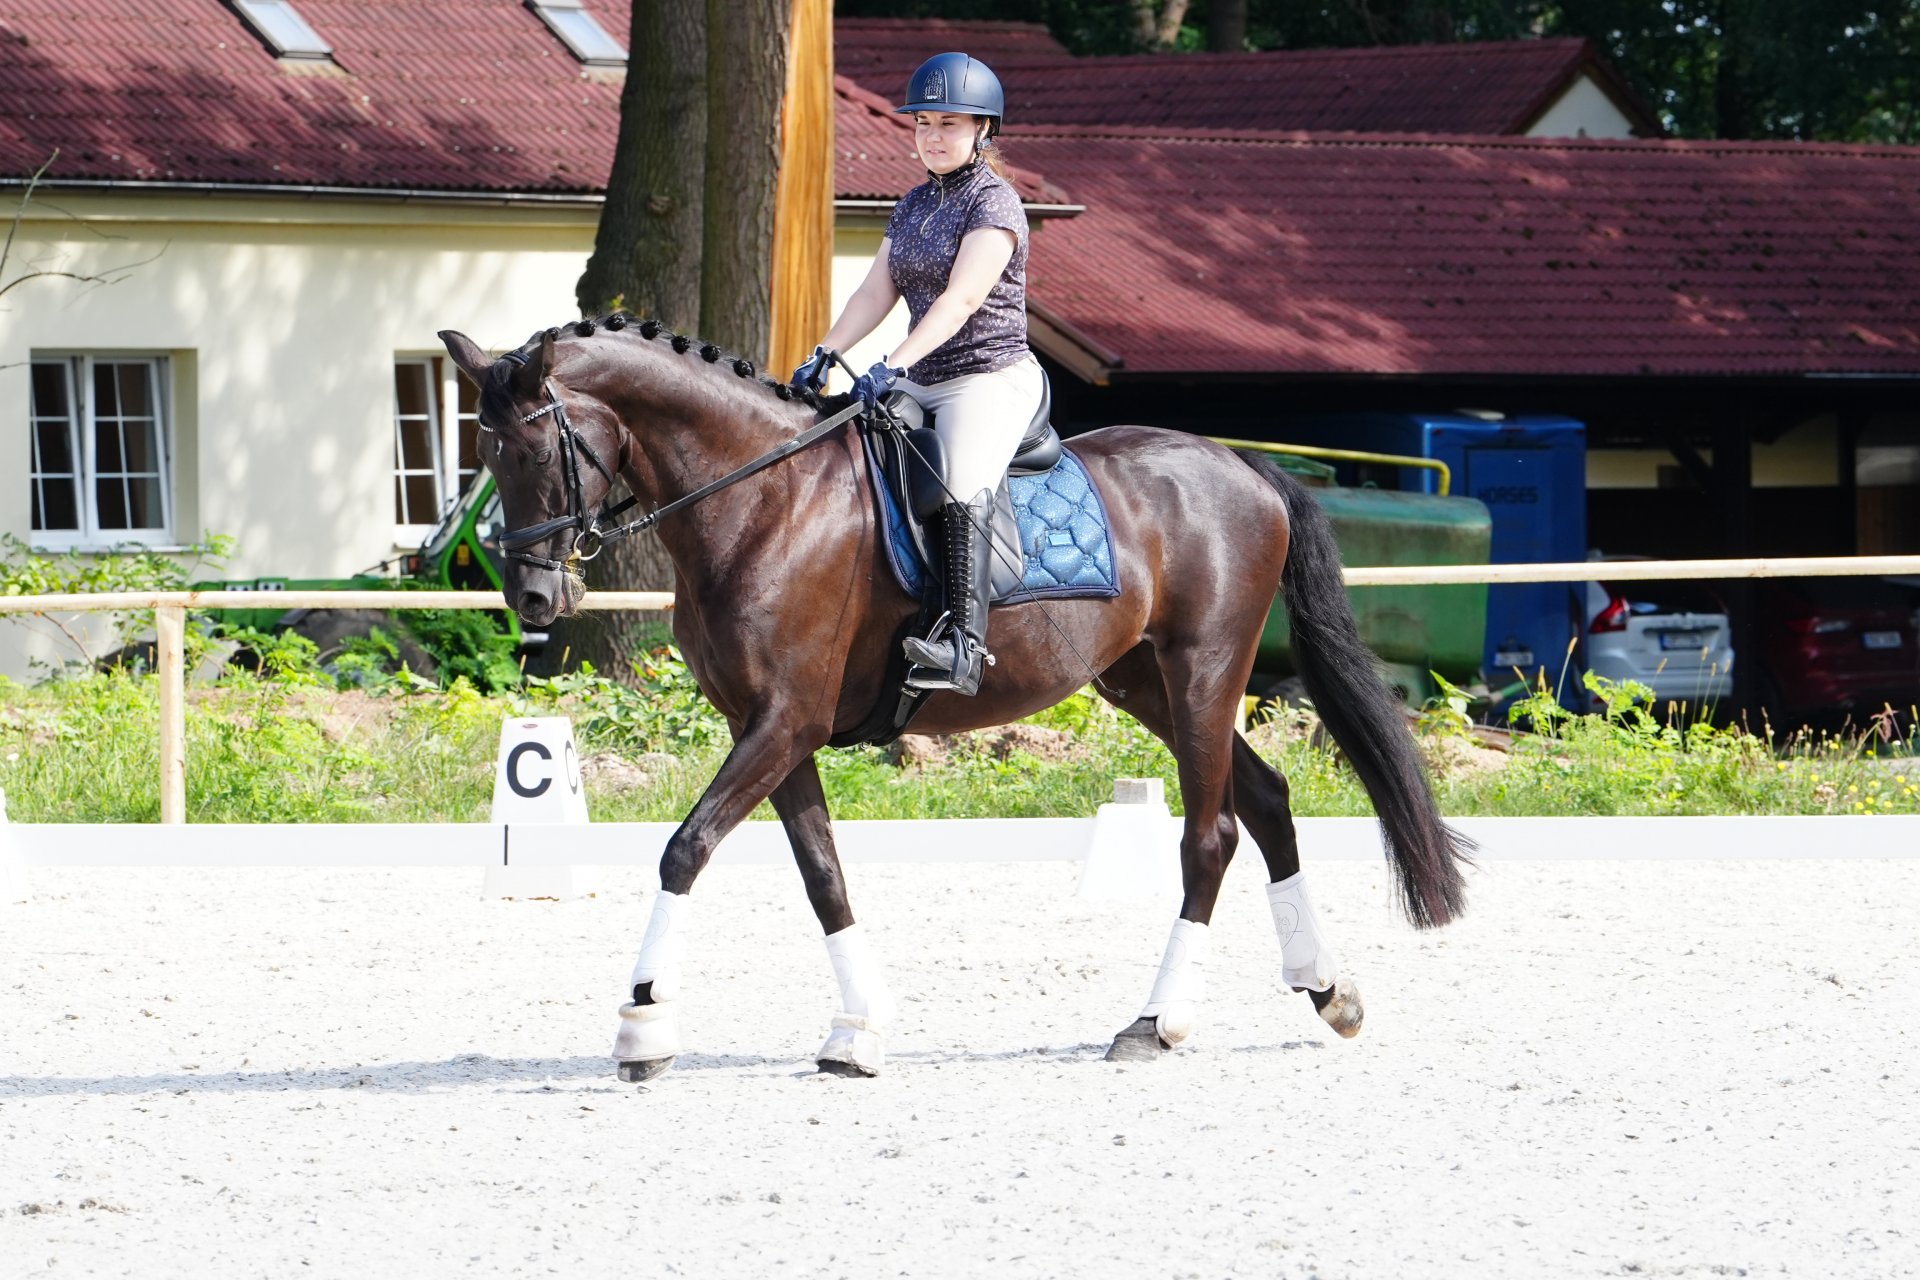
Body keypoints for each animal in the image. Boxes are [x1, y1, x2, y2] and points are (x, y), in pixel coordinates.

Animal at [441, 314, 1474, 1074]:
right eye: (483, 455)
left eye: (536, 451)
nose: (533, 599)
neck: (760, 501)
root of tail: (1241, 463)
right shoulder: (772, 731)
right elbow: (824, 874)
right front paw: (857, 1034)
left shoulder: (782, 724)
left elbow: (685, 849)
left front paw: (644, 1022)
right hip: (1143, 682)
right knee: (1265, 801)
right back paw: (1328, 990)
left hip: (1204, 672)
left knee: (1210, 836)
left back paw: (1156, 1023)